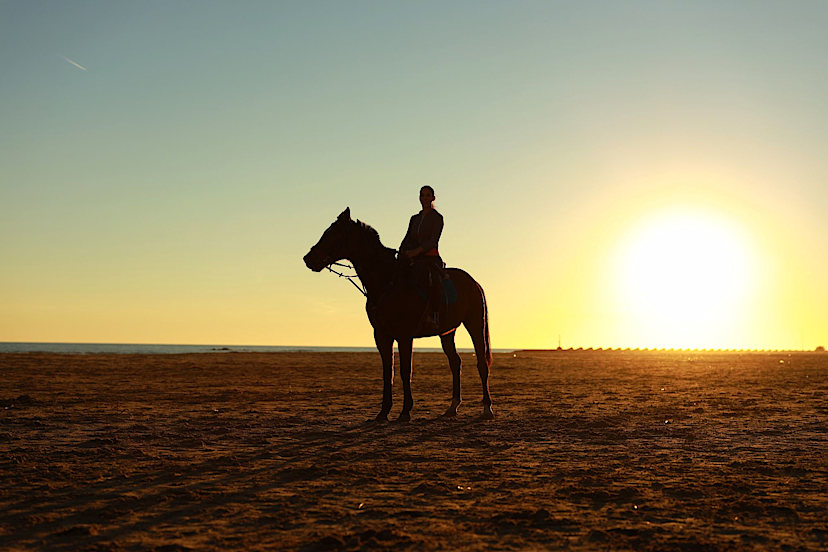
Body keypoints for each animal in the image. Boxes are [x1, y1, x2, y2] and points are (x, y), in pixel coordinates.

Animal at [303, 208, 494, 422]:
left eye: (333, 233)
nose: (308, 259)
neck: (387, 282)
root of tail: (474, 283)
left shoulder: (405, 335)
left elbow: (405, 370)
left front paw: (405, 412)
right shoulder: (381, 335)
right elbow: (388, 371)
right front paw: (383, 412)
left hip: (475, 324)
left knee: (481, 363)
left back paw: (487, 408)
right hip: (447, 332)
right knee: (455, 363)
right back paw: (452, 407)